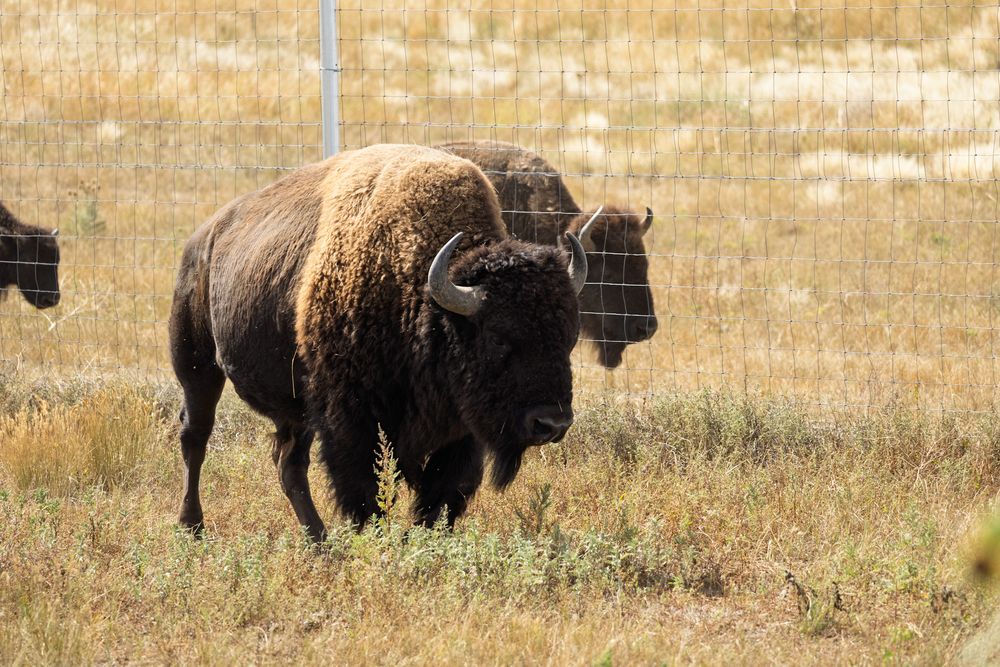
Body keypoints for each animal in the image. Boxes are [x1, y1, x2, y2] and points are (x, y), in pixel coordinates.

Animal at [169, 144, 592, 541]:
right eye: (499, 339)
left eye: (568, 338)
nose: (552, 423)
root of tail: (202, 239)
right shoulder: (353, 420)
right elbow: (366, 492)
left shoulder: (459, 433)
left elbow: (441, 495)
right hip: (197, 365)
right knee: (196, 437)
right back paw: (192, 526)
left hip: (295, 406)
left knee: (288, 463)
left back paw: (319, 542)